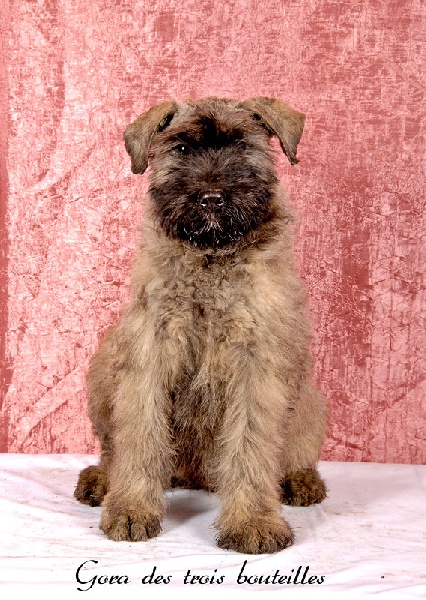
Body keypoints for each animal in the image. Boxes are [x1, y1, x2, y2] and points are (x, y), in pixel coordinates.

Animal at [75, 96, 327, 554]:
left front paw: (252, 522)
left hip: (310, 400)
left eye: (242, 146)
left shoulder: (256, 368)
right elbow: (140, 436)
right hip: (104, 366)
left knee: (295, 451)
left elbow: (250, 446)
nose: (211, 198)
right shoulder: (149, 358)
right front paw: (131, 508)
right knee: (113, 449)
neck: (211, 258)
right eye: (181, 149)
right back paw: (102, 479)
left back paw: (300, 480)